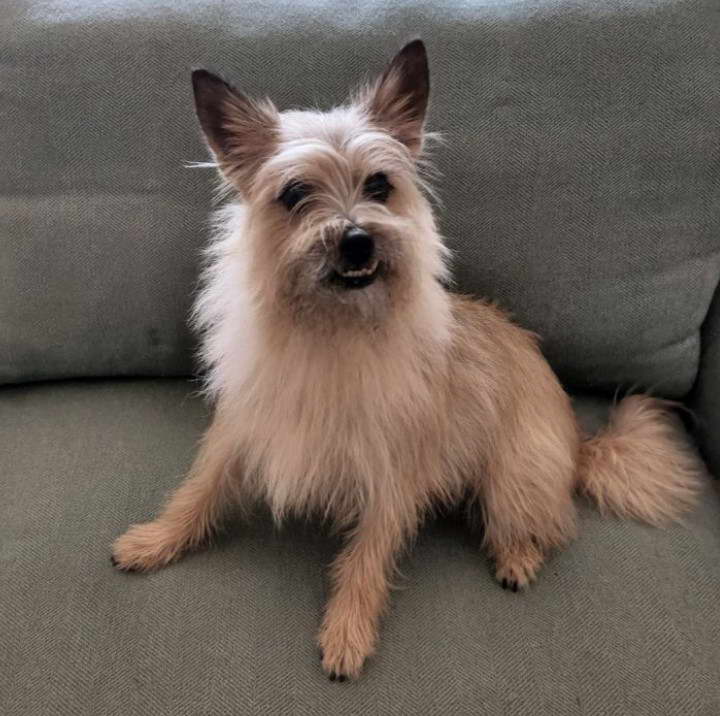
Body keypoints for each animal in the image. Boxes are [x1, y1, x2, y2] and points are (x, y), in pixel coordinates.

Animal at [112, 40, 704, 684]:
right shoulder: (244, 428)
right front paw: (156, 540)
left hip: (513, 475)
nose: (357, 240)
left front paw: (348, 629)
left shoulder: (390, 470)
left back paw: (516, 555)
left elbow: (367, 555)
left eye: (379, 185)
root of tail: (580, 443)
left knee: (533, 519)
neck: (333, 330)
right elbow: (199, 489)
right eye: (294, 195)